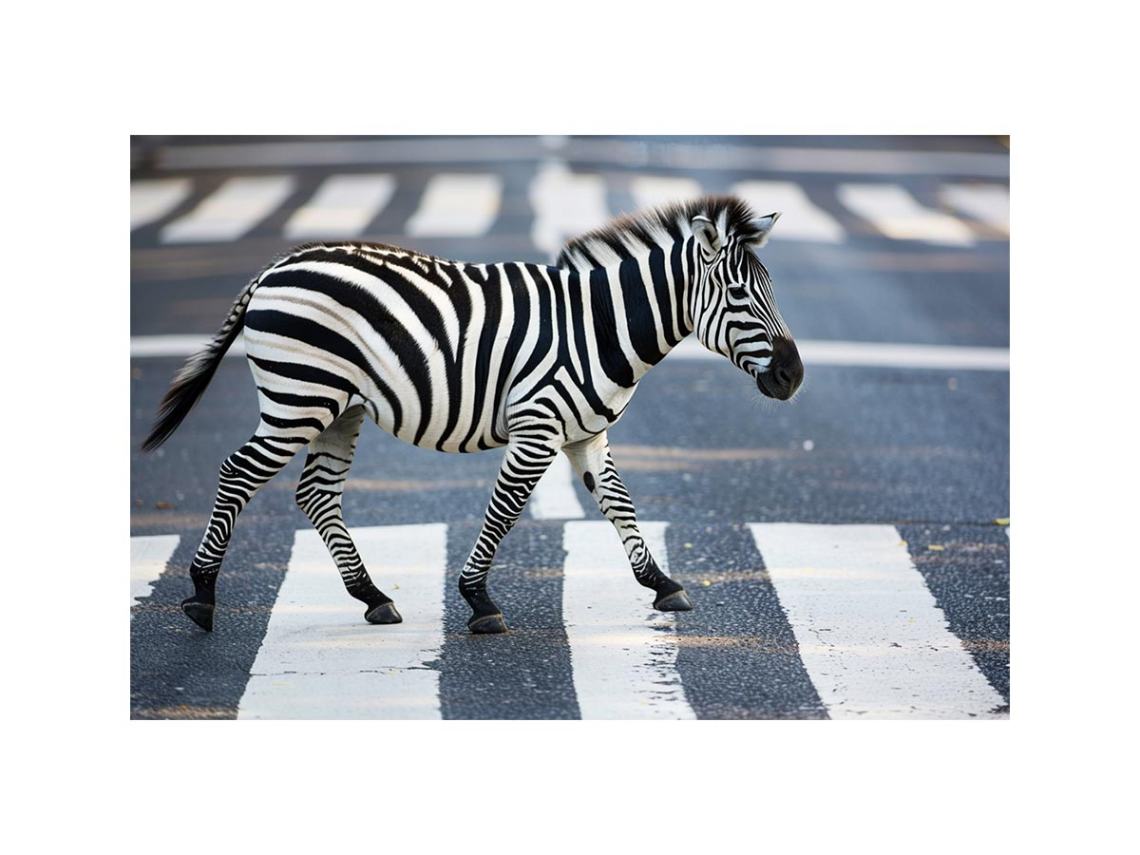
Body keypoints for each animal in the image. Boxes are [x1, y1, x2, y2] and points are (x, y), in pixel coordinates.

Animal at [142, 195, 804, 634]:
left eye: (771, 290)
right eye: (740, 295)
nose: (794, 377)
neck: (599, 328)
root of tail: (276, 267)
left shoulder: (588, 435)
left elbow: (621, 506)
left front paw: (662, 584)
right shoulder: (538, 428)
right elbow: (505, 510)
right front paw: (478, 600)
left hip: (339, 409)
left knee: (316, 493)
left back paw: (372, 596)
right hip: (298, 398)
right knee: (237, 473)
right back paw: (202, 596)